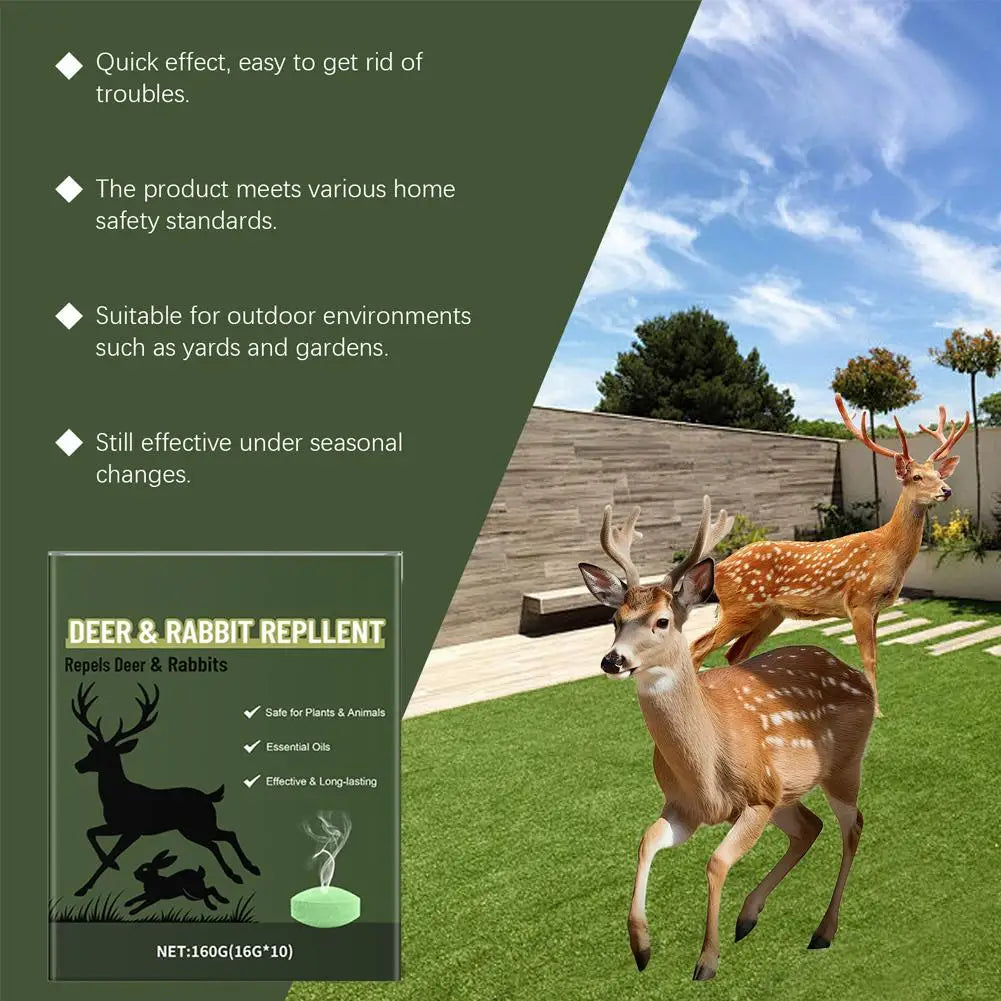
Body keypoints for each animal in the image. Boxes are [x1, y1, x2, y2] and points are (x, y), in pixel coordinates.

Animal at [71, 682, 260, 896]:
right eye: (92, 749)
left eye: (105, 754)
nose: (78, 765)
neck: (116, 796)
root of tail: (210, 797)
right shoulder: (116, 825)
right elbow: (90, 832)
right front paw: (89, 883)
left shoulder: (133, 829)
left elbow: (108, 850)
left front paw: (100, 874)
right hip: (192, 828)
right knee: (219, 840)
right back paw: (239, 873)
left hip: (198, 825)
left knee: (225, 837)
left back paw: (248, 869)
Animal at [578, 498, 875, 981]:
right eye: (614, 619)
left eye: (663, 621)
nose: (612, 660)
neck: (706, 768)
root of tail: (856, 675)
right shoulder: (685, 807)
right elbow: (646, 839)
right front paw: (641, 947)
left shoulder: (758, 795)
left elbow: (716, 862)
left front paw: (706, 961)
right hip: (788, 794)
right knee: (810, 827)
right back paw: (748, 917)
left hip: (842, 767)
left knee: (853, 827)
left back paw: (823, 930)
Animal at [690, 396, 970, 716]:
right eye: (916, 476)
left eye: (939, 475)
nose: (946, 490)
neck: (888, 552)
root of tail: (720, 568)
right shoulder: (860, 600)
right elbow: (869, 658)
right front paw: (876, 711)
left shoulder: (875, 608)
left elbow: (875, 656)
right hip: (741, 606)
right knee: (697, 647)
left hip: (768, 614)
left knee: (733, 654)